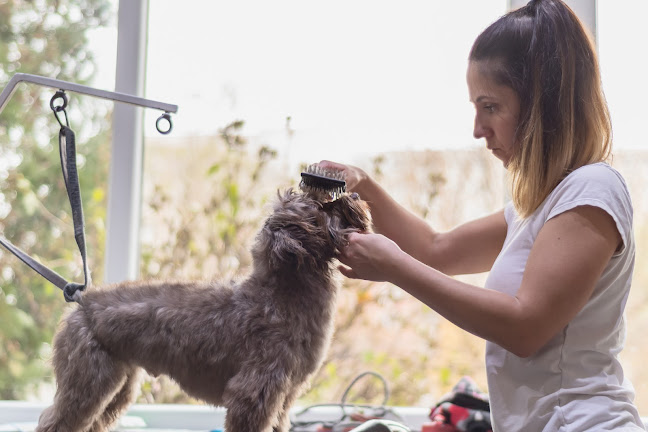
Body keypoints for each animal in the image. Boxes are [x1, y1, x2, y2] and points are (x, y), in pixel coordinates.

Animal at [36, 189, 370, 432]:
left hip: (117, 388)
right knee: (54, 422)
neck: (280, 295)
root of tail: (83, 303)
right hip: (88, 384)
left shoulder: (284, 399)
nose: (355, 195)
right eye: (322, 206)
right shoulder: (255, 394)